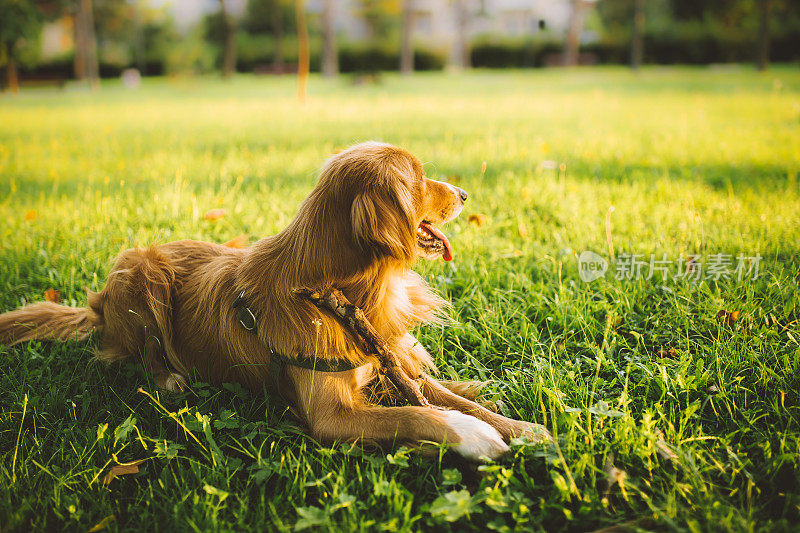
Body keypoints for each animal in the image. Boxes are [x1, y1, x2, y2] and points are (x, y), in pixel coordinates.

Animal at [0, 141, 548, 462]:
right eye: (416, 178)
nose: (464, 192)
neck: (338, 291)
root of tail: (96, 305)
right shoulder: (331, 418)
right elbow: (416, 414)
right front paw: (471, 435)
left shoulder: (384, 361)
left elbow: (440, 396)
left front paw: (520, 427)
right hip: (139, 270)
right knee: (146, 353)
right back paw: (171, 380)